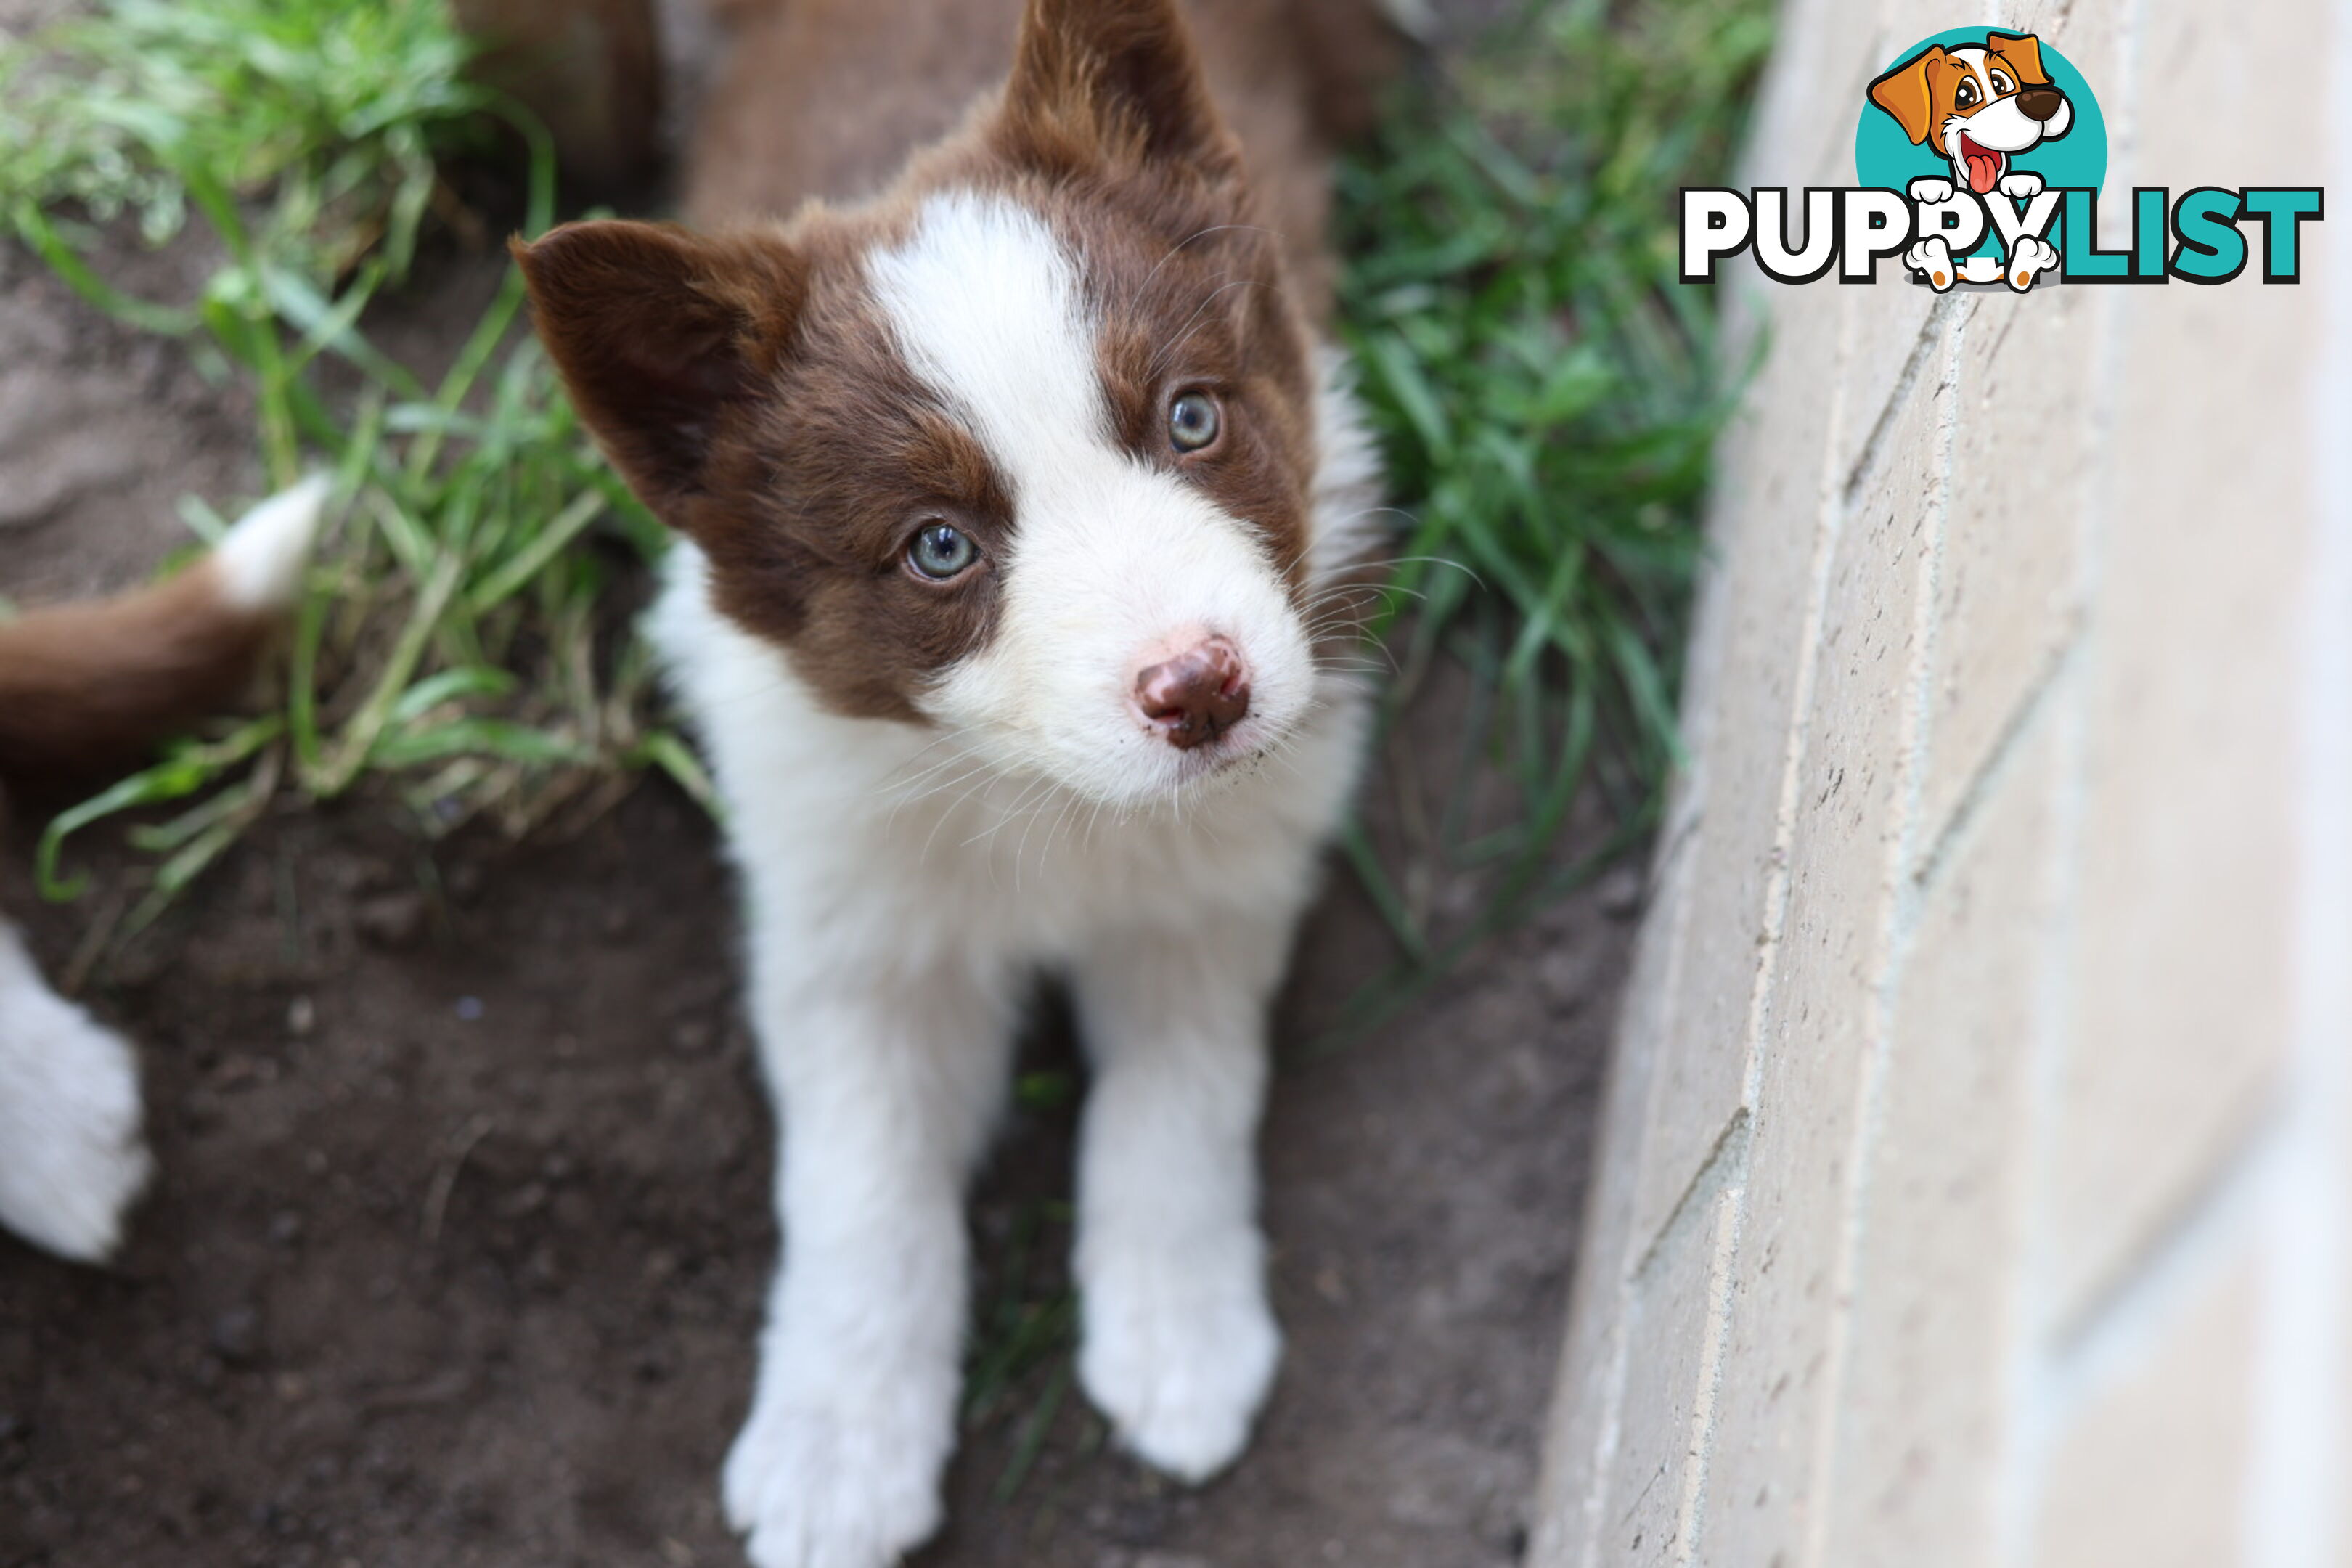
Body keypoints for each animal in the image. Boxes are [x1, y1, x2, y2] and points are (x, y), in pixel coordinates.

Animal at [517, 3, 1392, 1568]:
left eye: (1191, 419)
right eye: (938, 548)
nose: (1205, 689)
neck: (1043, 798)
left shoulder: (1223, 872)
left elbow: (1183, 1086)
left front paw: (1181, 1341)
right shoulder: (843, 913)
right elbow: (861, 1181)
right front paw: (835, 1450)